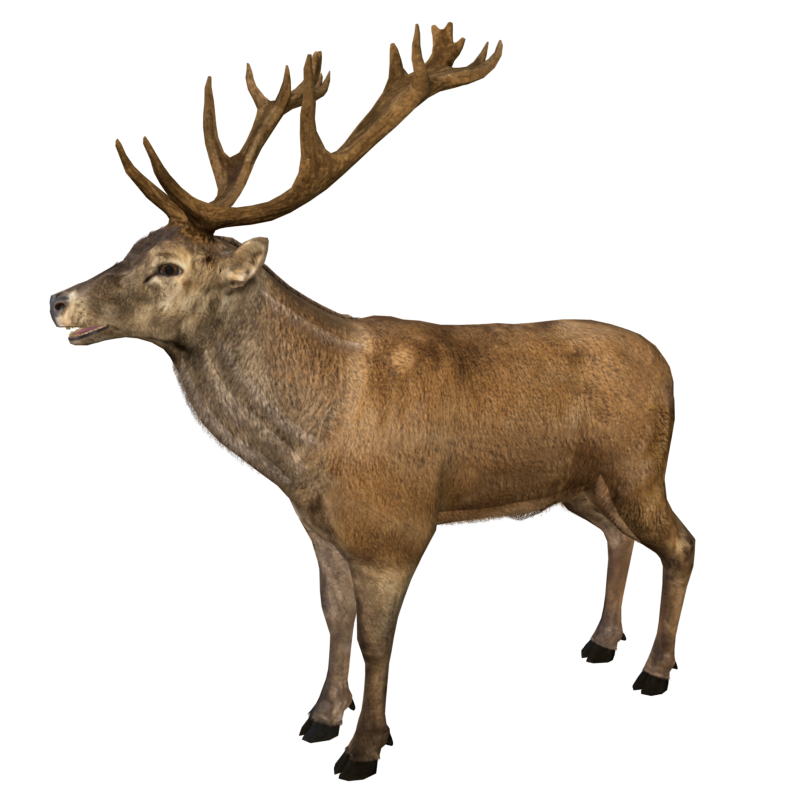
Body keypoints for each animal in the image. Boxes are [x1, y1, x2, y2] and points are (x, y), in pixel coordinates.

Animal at [48, 21, 695, 782]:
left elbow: (377, 641)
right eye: (131, 247)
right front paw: (321, 718)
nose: (59, 300)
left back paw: (655, 669)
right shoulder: (320, 527)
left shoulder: (395, 526)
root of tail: (665, 364)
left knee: (679, 543)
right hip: (582, 484)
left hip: (640, 465)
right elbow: (335, 622)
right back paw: (600, 641)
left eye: (168, 267)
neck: (311, 447)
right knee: (619, 536)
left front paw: (364, 747)